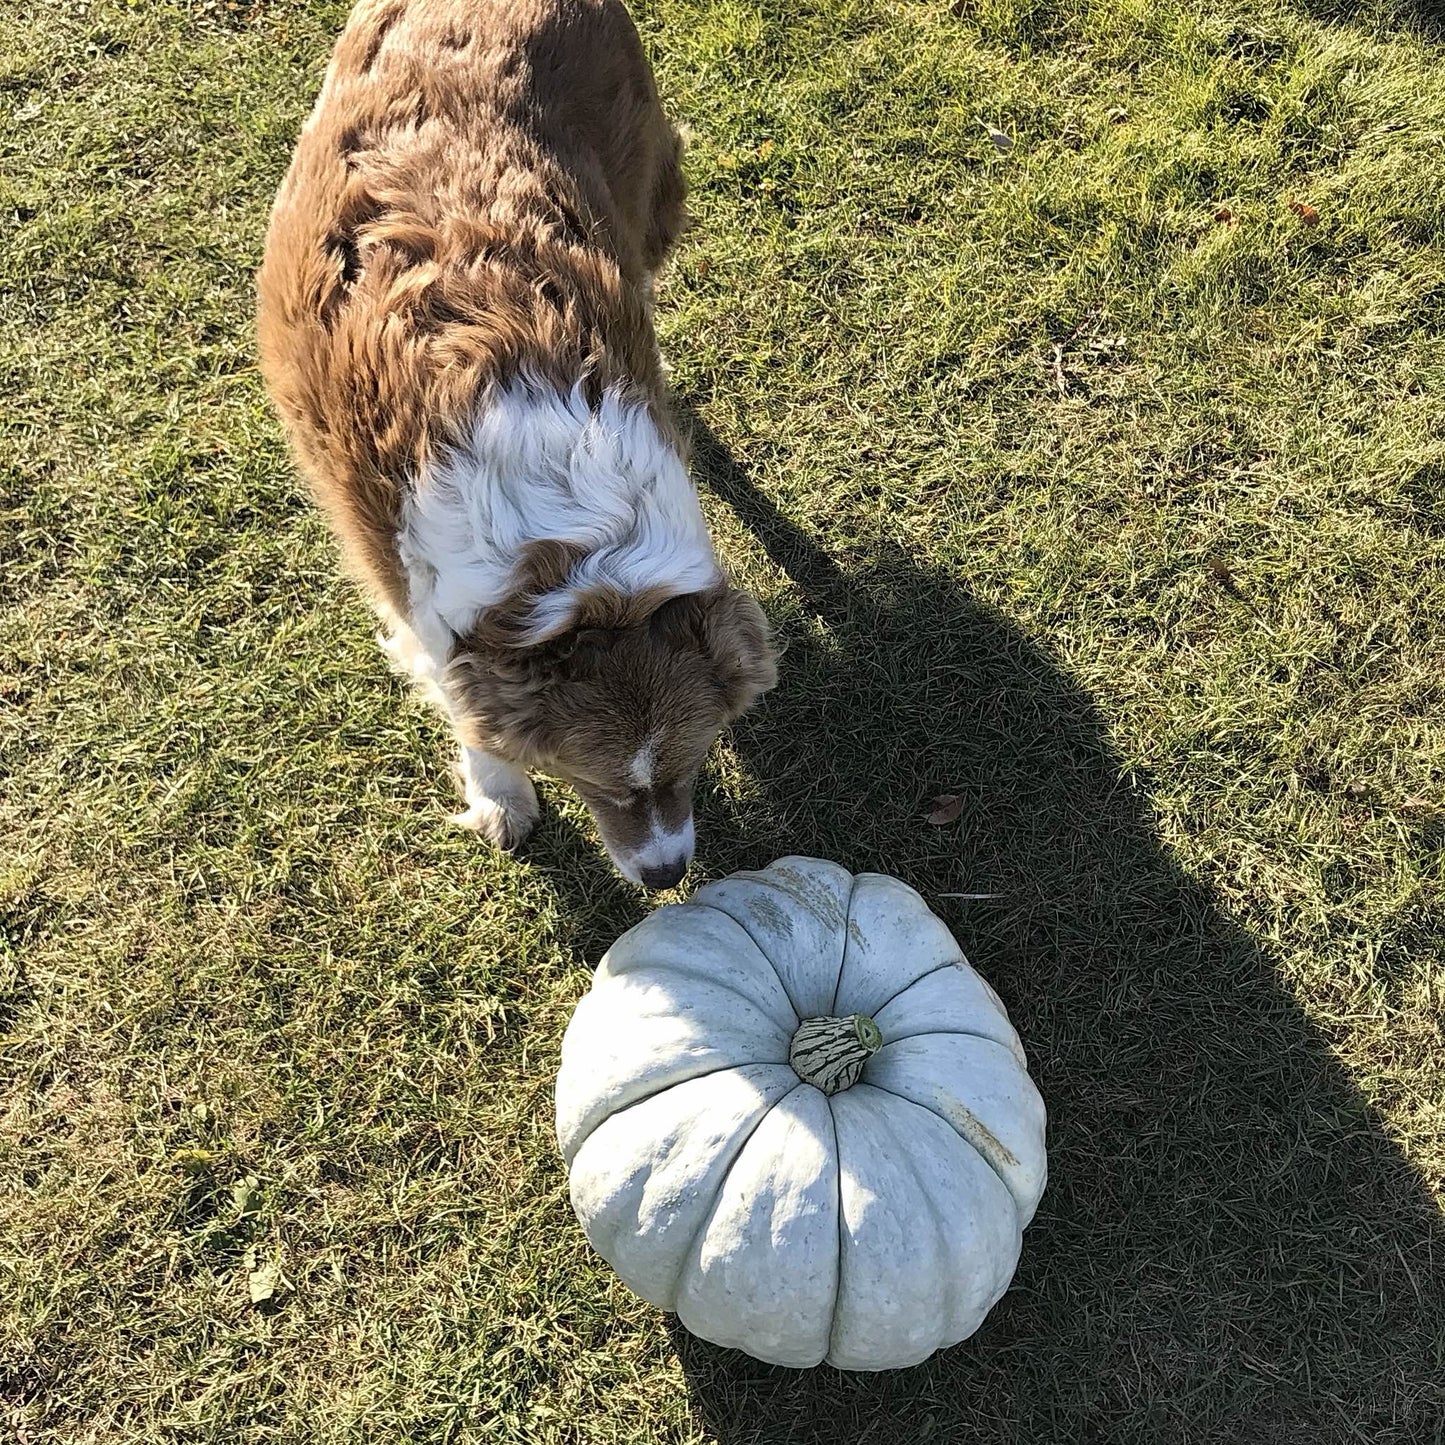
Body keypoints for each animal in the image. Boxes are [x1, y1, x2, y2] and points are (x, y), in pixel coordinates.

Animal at [260, 0, 780, 884]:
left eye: (691, 762)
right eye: (595, 782)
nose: (666, 875)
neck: (579, 553)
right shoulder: (421, 597)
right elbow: (466, 710)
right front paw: (499, 794)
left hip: (645, 194)